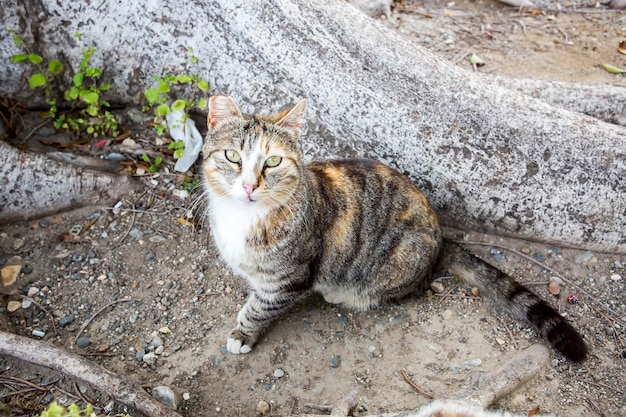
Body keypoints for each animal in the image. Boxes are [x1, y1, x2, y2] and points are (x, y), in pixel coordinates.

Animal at [199, 95, 584, 360]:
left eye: (274, 161)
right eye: (232, 156)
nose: (250, 185)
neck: (242, 218)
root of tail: (442, 240)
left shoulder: (290, 277)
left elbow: (261, 307)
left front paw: (243, 334)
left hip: (398, 258)